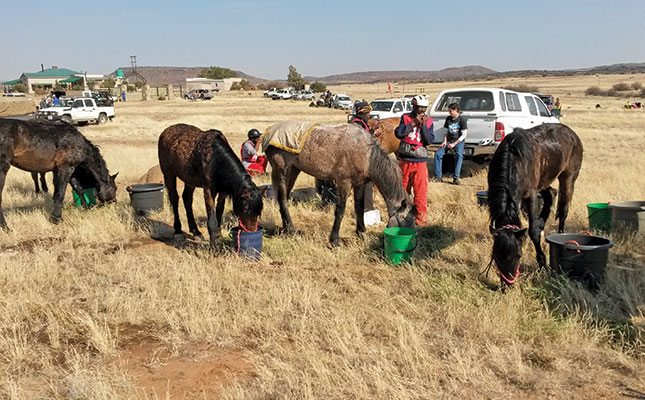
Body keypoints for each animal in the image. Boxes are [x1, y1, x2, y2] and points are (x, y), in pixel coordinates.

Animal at [262, 120, 418, 245]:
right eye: (405, 220)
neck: (366, 153)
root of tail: (270, 131)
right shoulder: (344, 183)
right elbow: (340, 211)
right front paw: (334, 239)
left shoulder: (360, 184)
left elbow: (359, 208)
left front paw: (361, 233)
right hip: (281, 170)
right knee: (283, 199)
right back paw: (291, 229)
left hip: (294, 170)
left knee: (283, 198)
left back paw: (286, 228)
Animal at [488, 123, 584, 286]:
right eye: (496, 255)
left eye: (519, 255)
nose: (508, 283)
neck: (514, 160)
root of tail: (571, 133)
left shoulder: (530, 195)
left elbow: (533, 231)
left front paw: (542, 263)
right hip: (544, 181)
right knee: (551, 194)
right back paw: (542, 223)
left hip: (568, 178)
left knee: (563, 210)